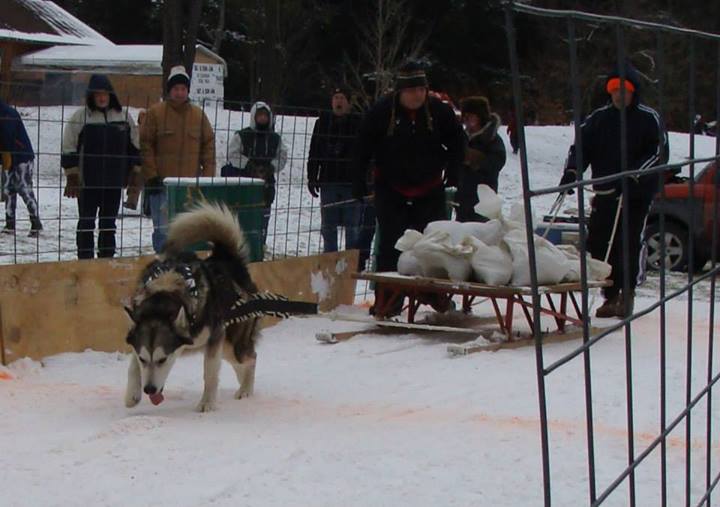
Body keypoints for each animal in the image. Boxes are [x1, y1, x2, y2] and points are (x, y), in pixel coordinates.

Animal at [125, 202, 260, 412]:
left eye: (162, 359)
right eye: (143, 359)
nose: (149, 389)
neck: (166, 289)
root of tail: (227, 259)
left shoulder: (215, 339)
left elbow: (210, 374)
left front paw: (207, 403)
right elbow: (132, 365)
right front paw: (132, 393)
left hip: (231, 344)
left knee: (251, 358)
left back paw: (246, 390)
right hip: (227, 348)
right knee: (243, 363)